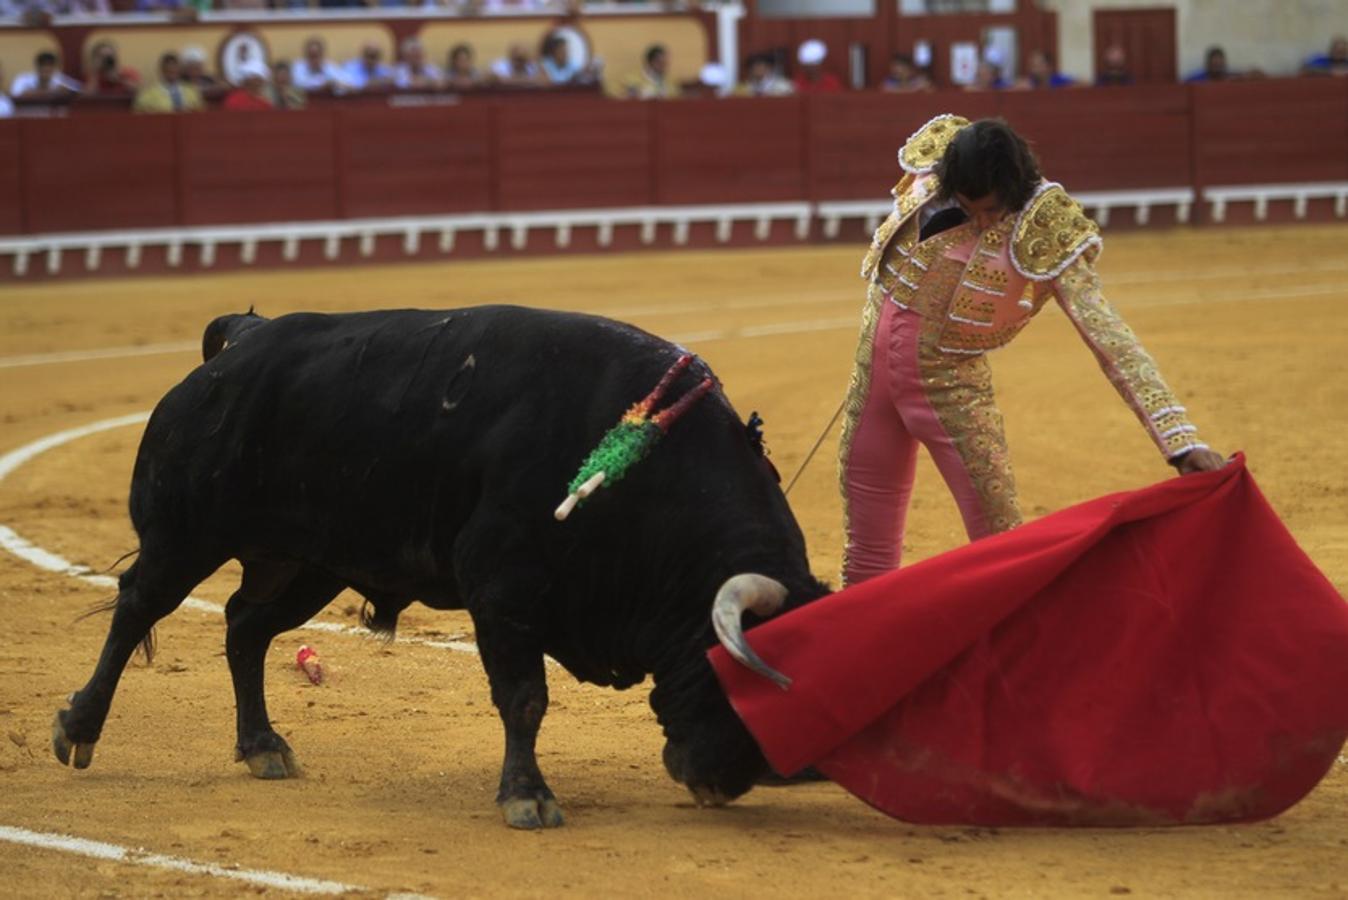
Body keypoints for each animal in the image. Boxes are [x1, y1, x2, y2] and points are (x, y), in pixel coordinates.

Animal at [52, 307, 824, 829]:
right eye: (743, 680)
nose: (731, 781)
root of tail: (242, 340)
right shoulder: (503, 589)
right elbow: (525, 696)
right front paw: (528, 798)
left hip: (310, 561)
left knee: (244, 626)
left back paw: (264, 747)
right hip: (186, 536)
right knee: (137, 608)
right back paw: (78, 730)